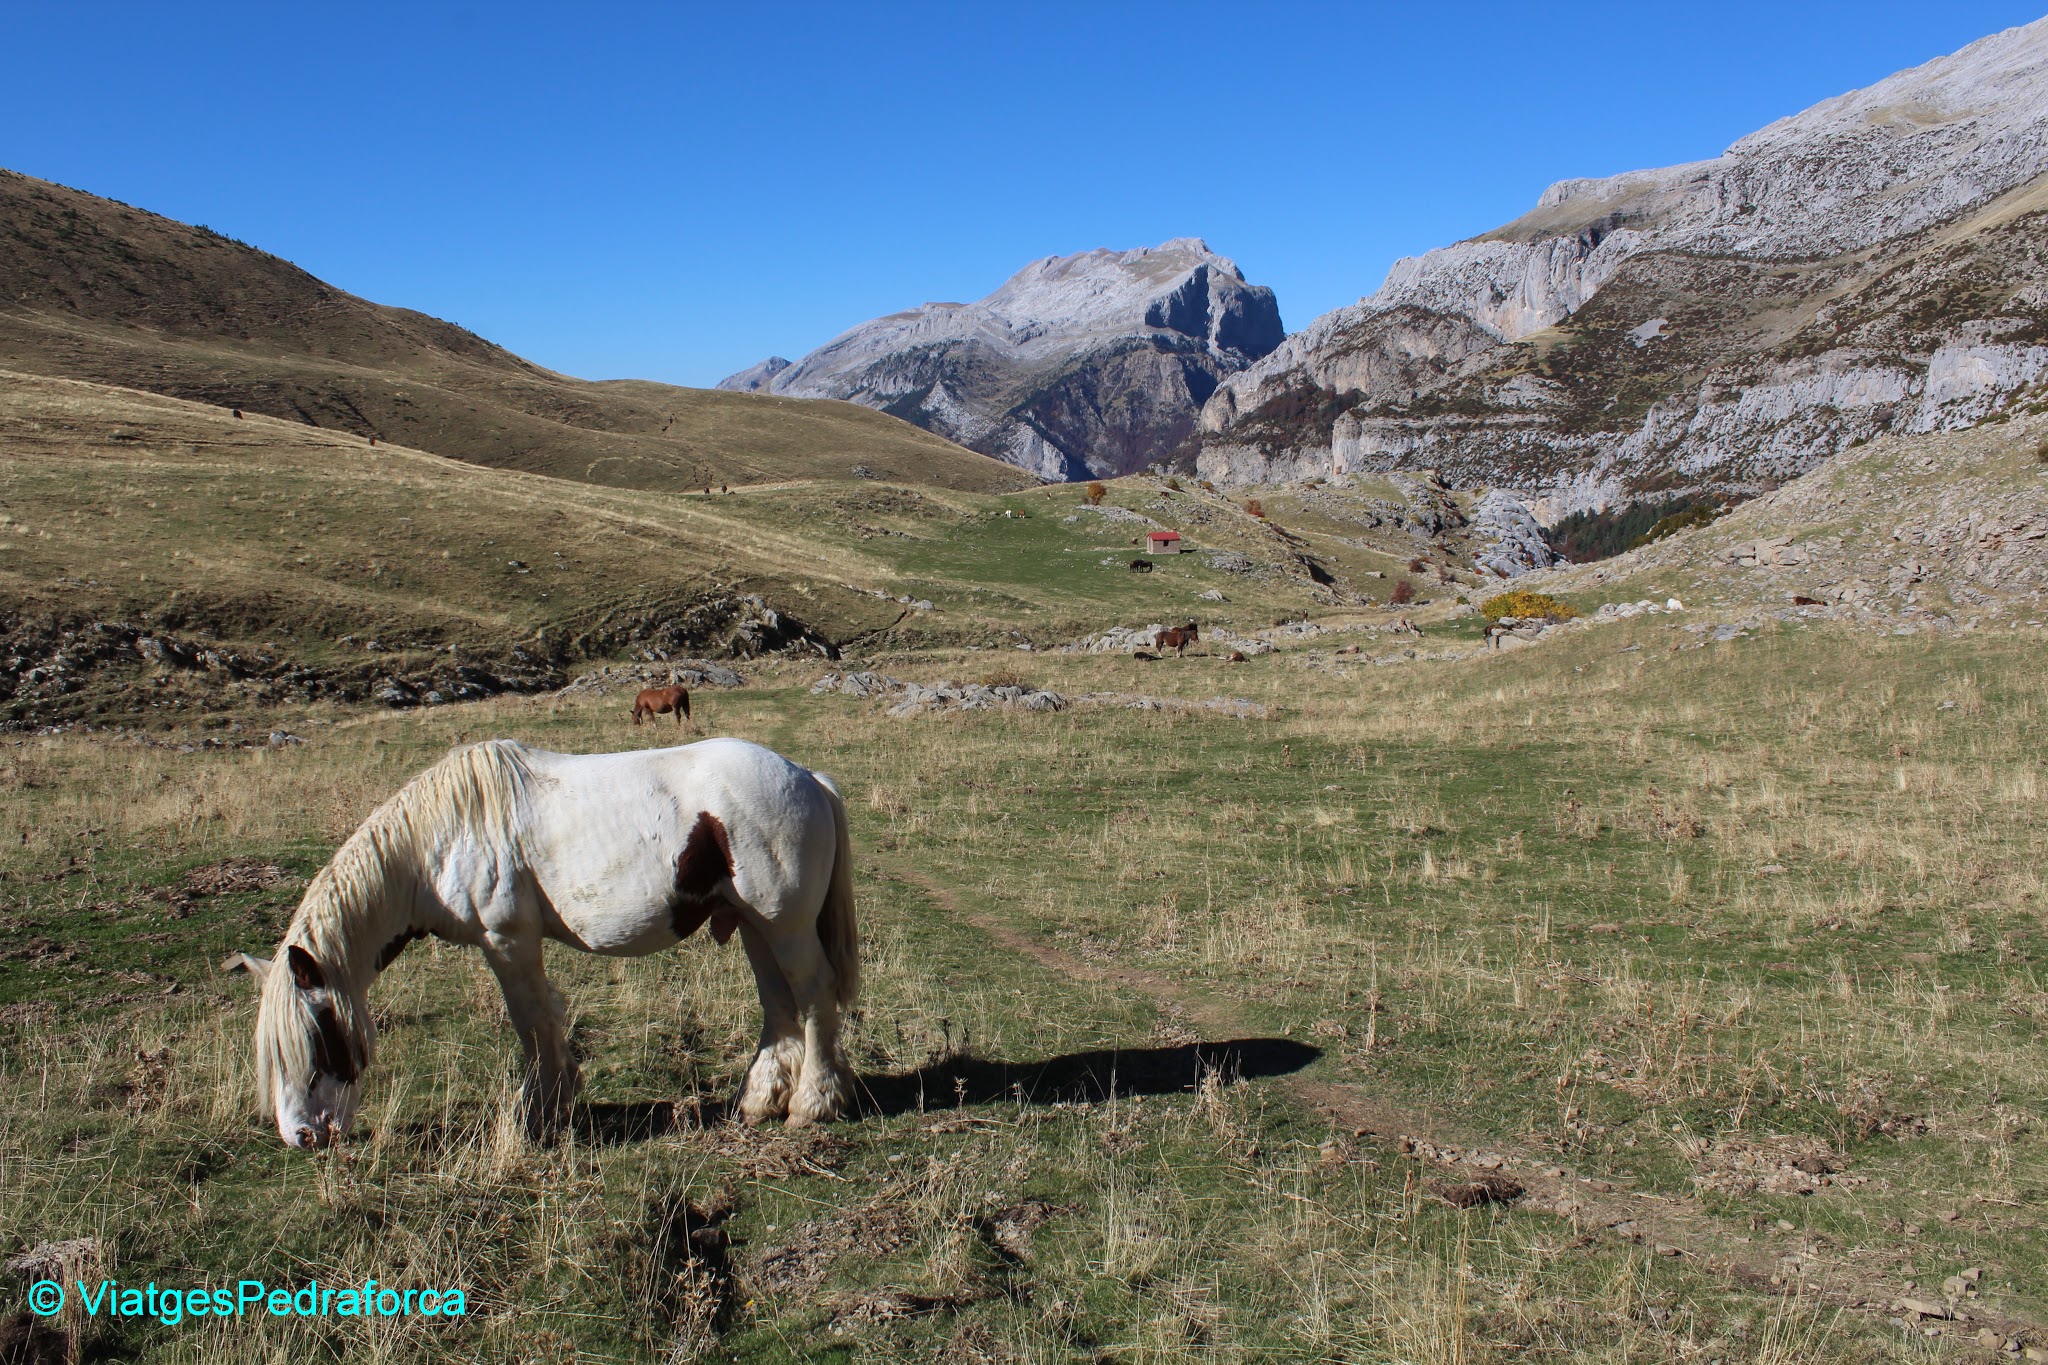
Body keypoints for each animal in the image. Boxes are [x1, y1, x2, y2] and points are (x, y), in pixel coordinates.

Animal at [237, 740, 856, 1146]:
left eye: (318, 1036)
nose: (302, 1135)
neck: (444, 837)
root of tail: (806, 777)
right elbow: (542, 1021)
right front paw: (555, 1102)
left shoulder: (507, 941)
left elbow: (531, 1021)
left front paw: (538, 1114)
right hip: (753, 926)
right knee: (779, 1006)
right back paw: (759, 1102)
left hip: (785, 928)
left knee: (814, 997)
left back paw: (812, 1104)